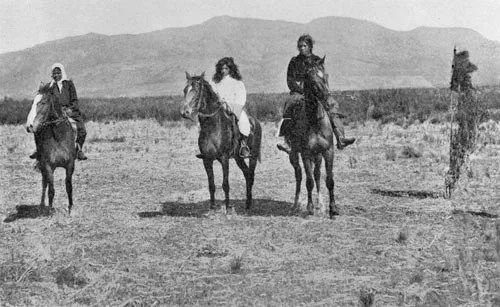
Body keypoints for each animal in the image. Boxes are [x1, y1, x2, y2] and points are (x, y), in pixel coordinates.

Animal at [30, 83, 76, 215]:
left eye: (43, 102)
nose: (29, 126)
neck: (59, 136)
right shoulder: (48, 166)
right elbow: (51, 189)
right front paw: (50, 210)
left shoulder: (70, 165)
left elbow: (69, 186)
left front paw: (70, 208)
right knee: (44, 183)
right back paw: (42, 206)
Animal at [181, 72, 266, 217]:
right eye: (185, 90)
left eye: (196, 91)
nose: (185, 112)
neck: (213, 126)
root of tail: (255, 121)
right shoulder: (207, 160)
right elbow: (211, 185)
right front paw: (212, 209)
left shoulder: (224, 159)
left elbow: (225, 184)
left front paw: (227, 209)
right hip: (238, 158)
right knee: (246, 174)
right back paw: (246, 204)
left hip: (253, 156)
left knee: (251, 175)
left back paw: (249, 205)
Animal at [288, 57, 338, 219]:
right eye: (311, 79)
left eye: (326, 75)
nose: (330, 102)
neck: (315, 121)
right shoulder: (306, 153)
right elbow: (308, 181)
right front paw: (309, 208)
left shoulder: (328, 152)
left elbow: (329, 180)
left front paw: (332, 209)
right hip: (294, 154)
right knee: (299, 176)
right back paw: (296, 205)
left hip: (318, 155)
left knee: (317, 175)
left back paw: (320, 204)